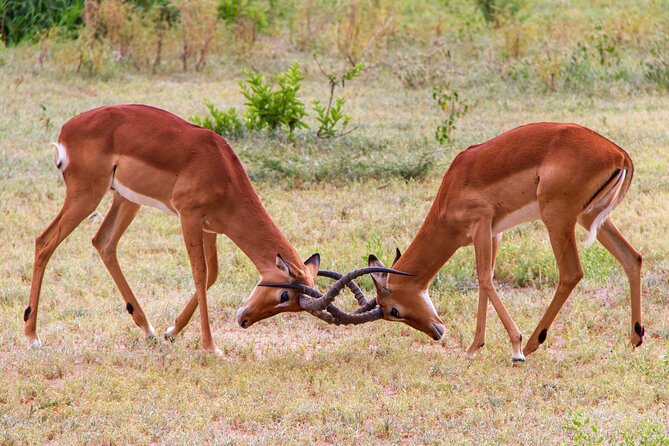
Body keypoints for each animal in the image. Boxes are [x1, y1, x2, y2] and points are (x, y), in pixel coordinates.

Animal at [23, 104, 402, 356]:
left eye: (293, 305)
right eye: (284, 296)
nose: (244, 320)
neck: (222, 169)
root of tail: (66, 130)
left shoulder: (211, 228)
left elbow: (213, 274)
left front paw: (171, 331)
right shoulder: (188, 217)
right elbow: (199, 272)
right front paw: (210, 347)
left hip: (125, 199)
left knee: (103, 242)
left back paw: (147, 328)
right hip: (86, 195)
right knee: (45, 241)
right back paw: (32, 335)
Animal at [360, 123, 640, 362]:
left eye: (393, 311)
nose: (437, 332)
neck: (451, 189)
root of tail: (618, 154)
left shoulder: (481, 223)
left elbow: (484, 278)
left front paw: (515, 348)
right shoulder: (494, 232)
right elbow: (487, 279)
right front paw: (474, 347)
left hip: (557, 218)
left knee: (571, 273)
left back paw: (531, 344)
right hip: (591, 216)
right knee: (632, 258)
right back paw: (635, 338)